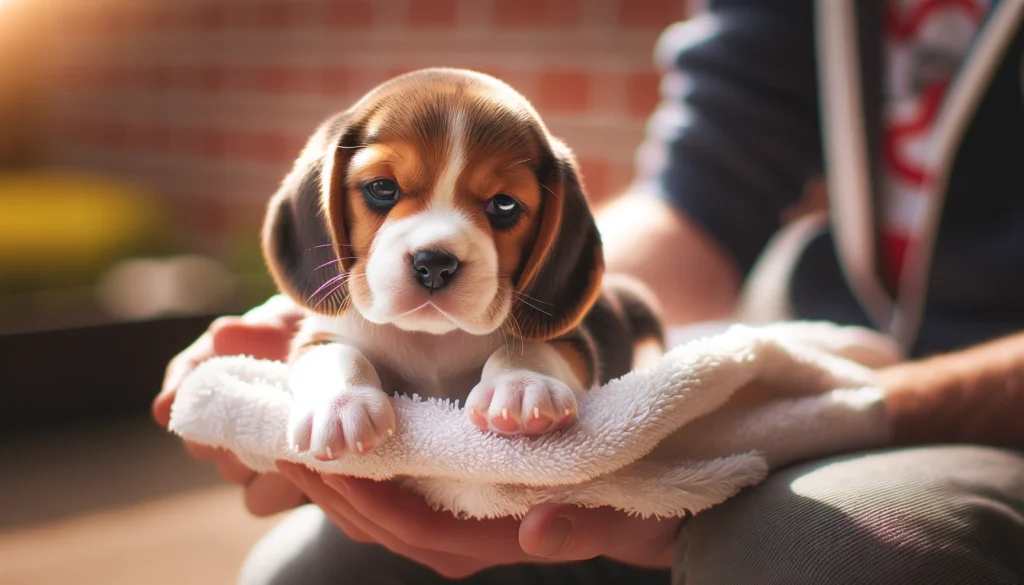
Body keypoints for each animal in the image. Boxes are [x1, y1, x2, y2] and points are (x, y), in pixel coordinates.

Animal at [264, 68, 663, 461]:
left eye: (504, 204)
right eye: (382, 188)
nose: (434, 264)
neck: (433, 339)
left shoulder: (573, 342)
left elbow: (529, 348)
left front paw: (522, 384)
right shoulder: (323, 335)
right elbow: (336, 354)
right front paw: (341, 405)